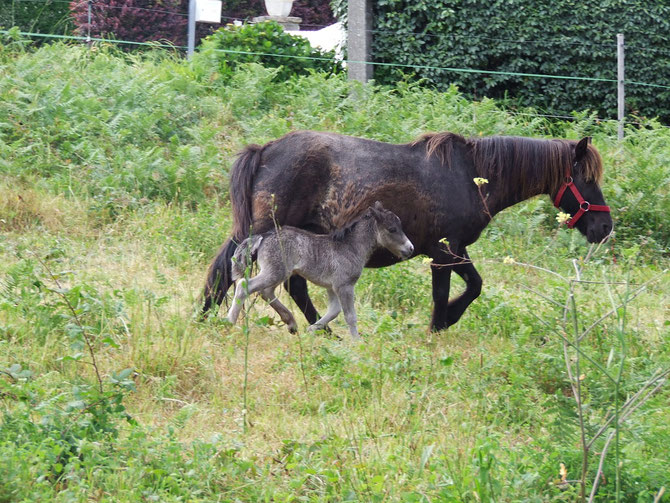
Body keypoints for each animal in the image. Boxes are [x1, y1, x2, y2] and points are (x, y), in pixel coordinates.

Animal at [203, 132, 616, 332]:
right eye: (586, 178)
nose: (605, 227)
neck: (471, 176)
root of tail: (266, 150)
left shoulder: (449, 250)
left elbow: (472, 286)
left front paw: (443, 321)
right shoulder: (446, 251)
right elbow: (461, 290)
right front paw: (442, 322)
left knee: (286, 285)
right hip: (265, 234)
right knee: (235, 273)